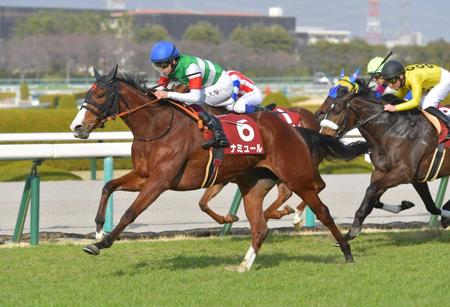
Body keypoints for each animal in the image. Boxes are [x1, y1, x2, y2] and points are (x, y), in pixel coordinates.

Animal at [70, 65, 366, 272]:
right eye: (87, 93)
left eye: (100, 94)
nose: (77, 127)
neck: (157, 127)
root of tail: (296, 129)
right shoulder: (144, 176)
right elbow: (108, 186)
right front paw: (98, 229)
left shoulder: (160, 181)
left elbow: (131, 212)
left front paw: (100, 244)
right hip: (254, 185)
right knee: (260, 227)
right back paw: (244, 265)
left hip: (297, 175)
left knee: (322, 208)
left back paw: (345, 251)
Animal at [318, 79, 450, 241]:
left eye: (338, 109)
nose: (323, 135)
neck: (392, 130)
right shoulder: (392, 173)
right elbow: (430, 206)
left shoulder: (403, 172)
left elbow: (371, 189)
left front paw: (354, 229)